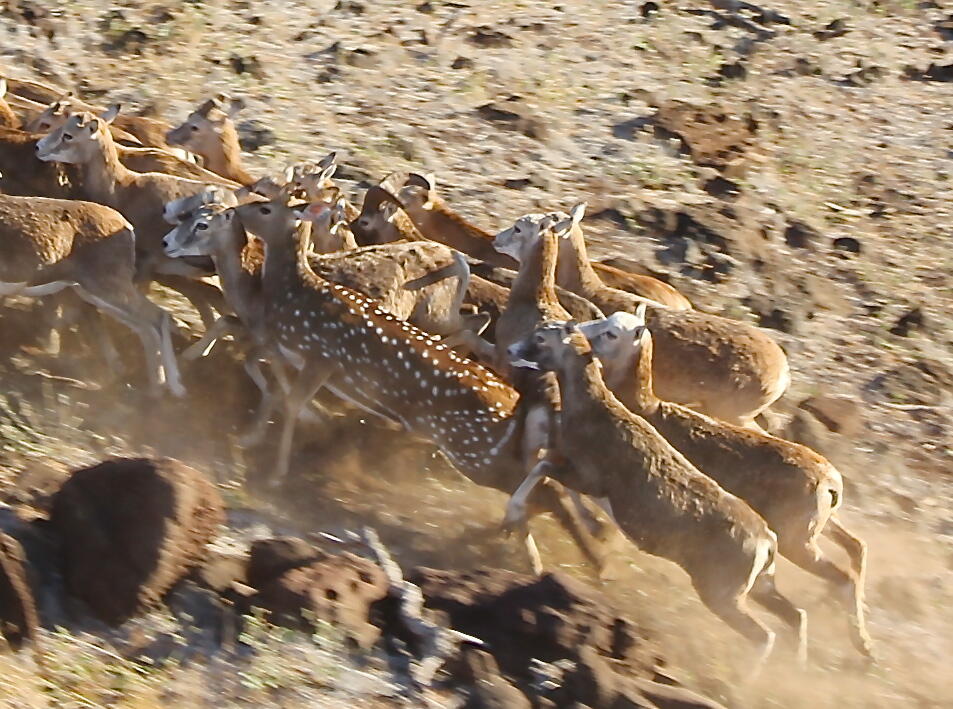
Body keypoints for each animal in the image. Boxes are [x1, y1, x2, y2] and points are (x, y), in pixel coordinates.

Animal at [0, 189, 183, 396]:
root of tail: (127, 227)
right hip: (91, 291)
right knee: (145, 326)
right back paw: (157, 388)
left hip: (106, 287)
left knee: (156, 317)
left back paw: (174, 389)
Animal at [504, 321, 807, 675]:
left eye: (540, 338)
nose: (511, 350)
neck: (596, 412)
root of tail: (766, 539)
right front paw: (595, 531)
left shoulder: (584, 477)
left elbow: (543, 470)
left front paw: (514, 516)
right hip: (759, 587)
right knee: (795, 616)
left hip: (723, 596)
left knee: (764, 635)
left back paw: (746, 680)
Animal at [577, 310, 874, 660]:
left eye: (611, 333)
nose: (576, 330)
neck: (646, 408)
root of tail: (829, 482)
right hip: (817, 531)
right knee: (856, 548)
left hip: (797, 544)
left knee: (844, 578)